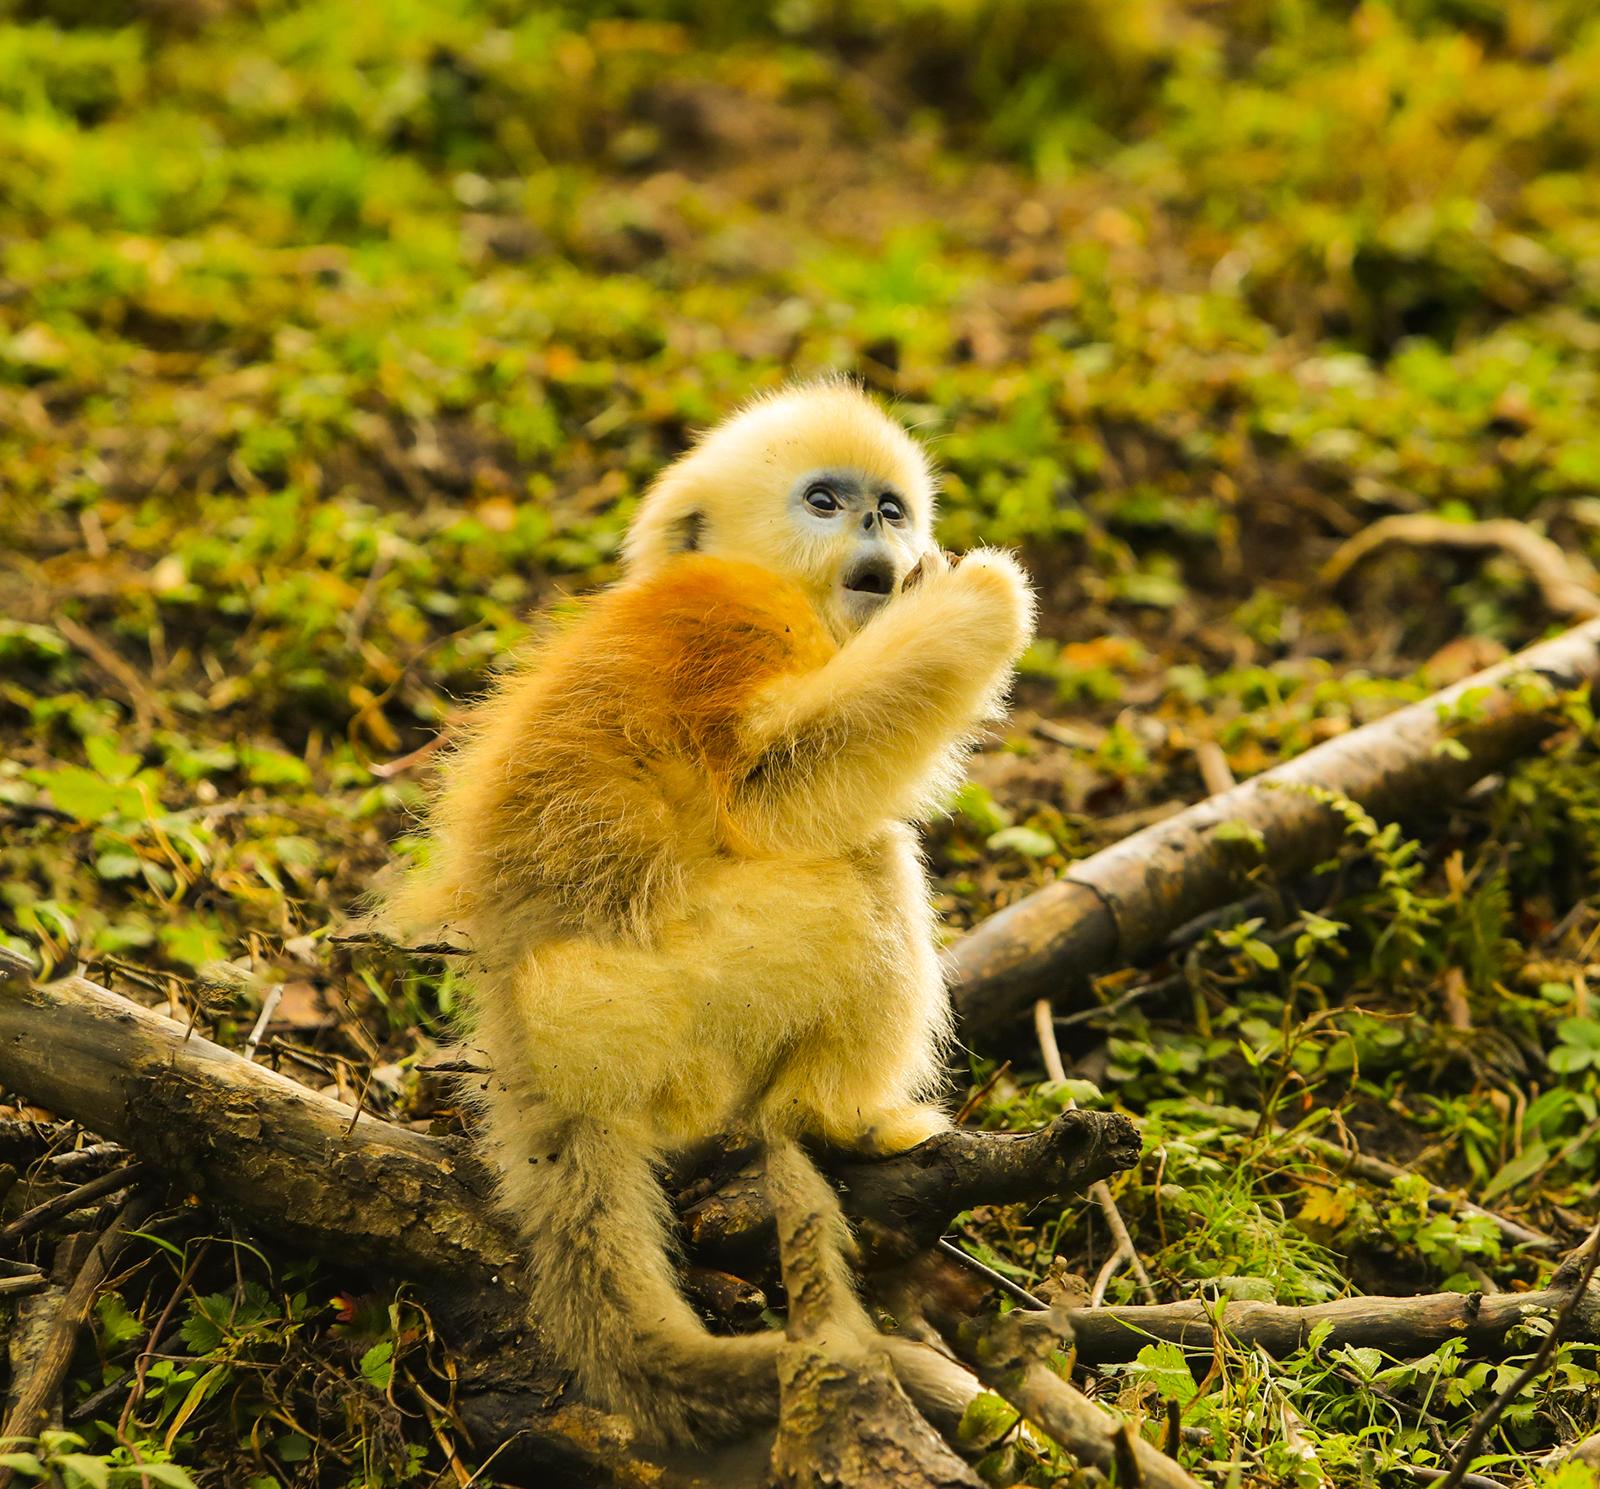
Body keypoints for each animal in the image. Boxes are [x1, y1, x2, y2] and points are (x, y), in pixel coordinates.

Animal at [393, 380, 1030, 1445]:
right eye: (825, 501)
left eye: (890, 508)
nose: (877, 532)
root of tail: (525, 1037)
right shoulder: (729, 623)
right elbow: (769, 789)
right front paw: (982, 596)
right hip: (657, 999)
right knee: (869, 861)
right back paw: (845, 1116)